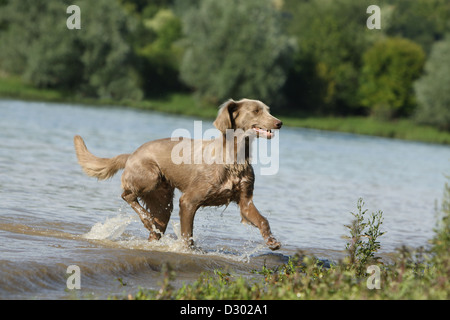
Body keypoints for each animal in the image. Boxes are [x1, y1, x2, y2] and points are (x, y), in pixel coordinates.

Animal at [74, 97, 282, 250]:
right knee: (127, 195)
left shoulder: (245, 201)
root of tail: (132, 154)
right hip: (151, 177)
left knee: (155, 228)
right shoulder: (189, 201)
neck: (234, 158)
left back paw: (152, 227)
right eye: (256, 111)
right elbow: (187, 235)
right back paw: (147, 220)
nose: (279, 122)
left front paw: (272, 242)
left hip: (162, 201)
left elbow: (263, 220)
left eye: (267, 109)